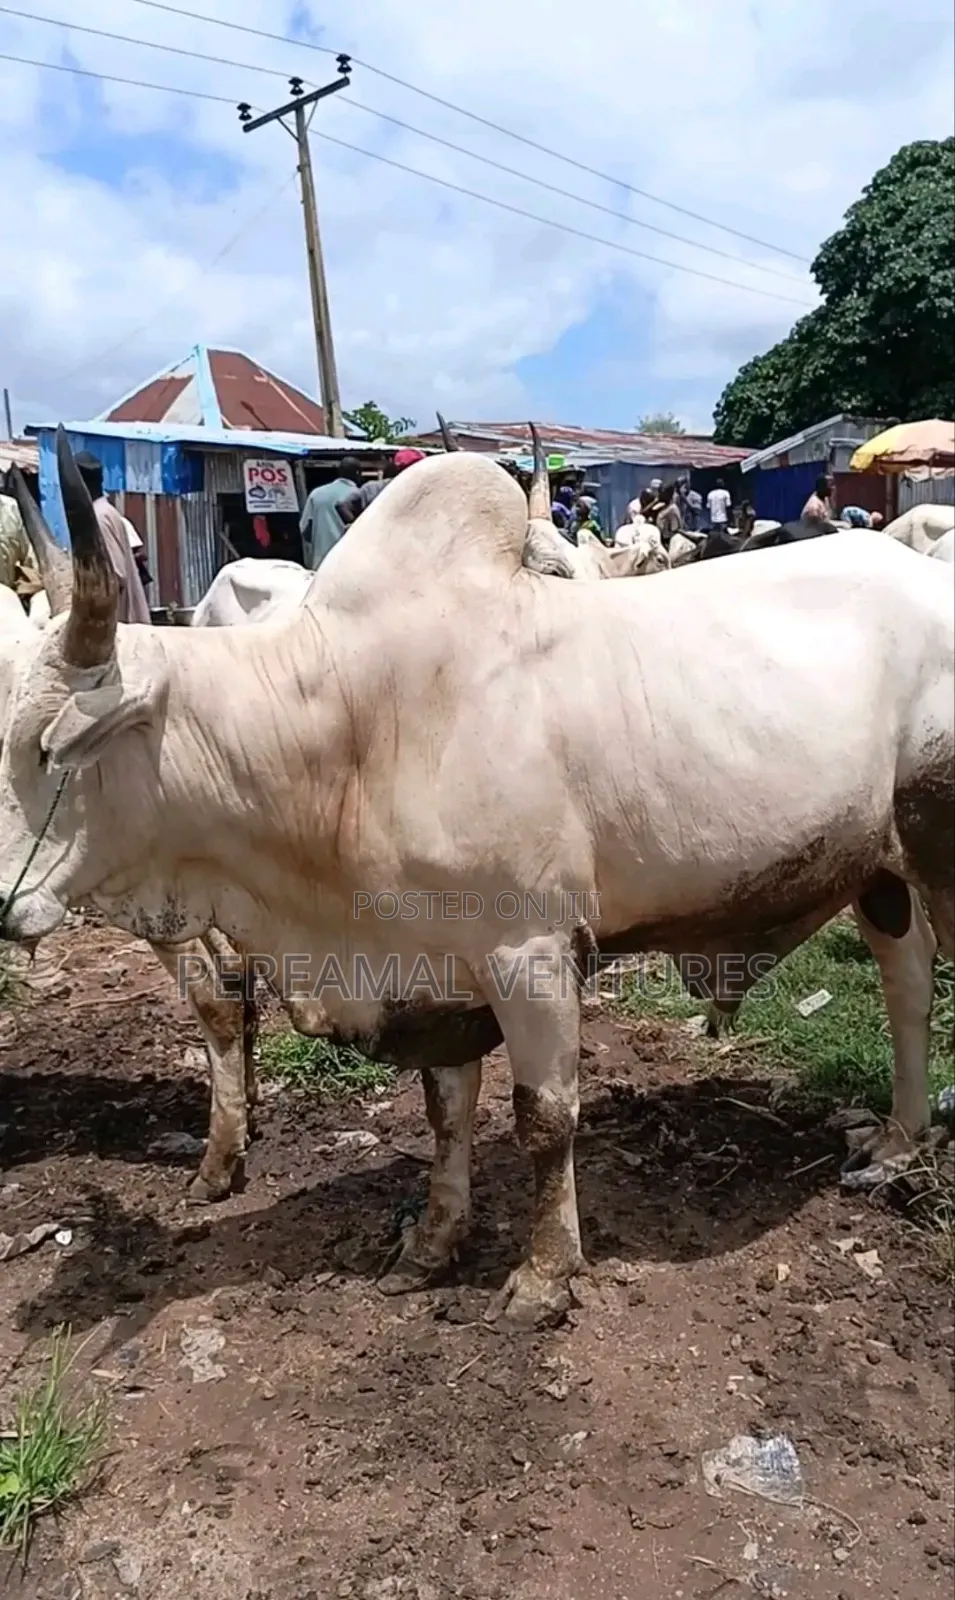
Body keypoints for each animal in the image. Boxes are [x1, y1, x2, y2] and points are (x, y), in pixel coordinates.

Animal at [0, 428, 951, 1329]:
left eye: (48, 746)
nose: (3, 905)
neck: (348, 729)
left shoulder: (529, 951)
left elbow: (544, 1119)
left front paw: (545, 1277)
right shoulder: (436, 965)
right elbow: (445, 1111)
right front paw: (432, 1242)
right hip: (878, 871)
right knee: (907, 984)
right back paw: (897, 1139)